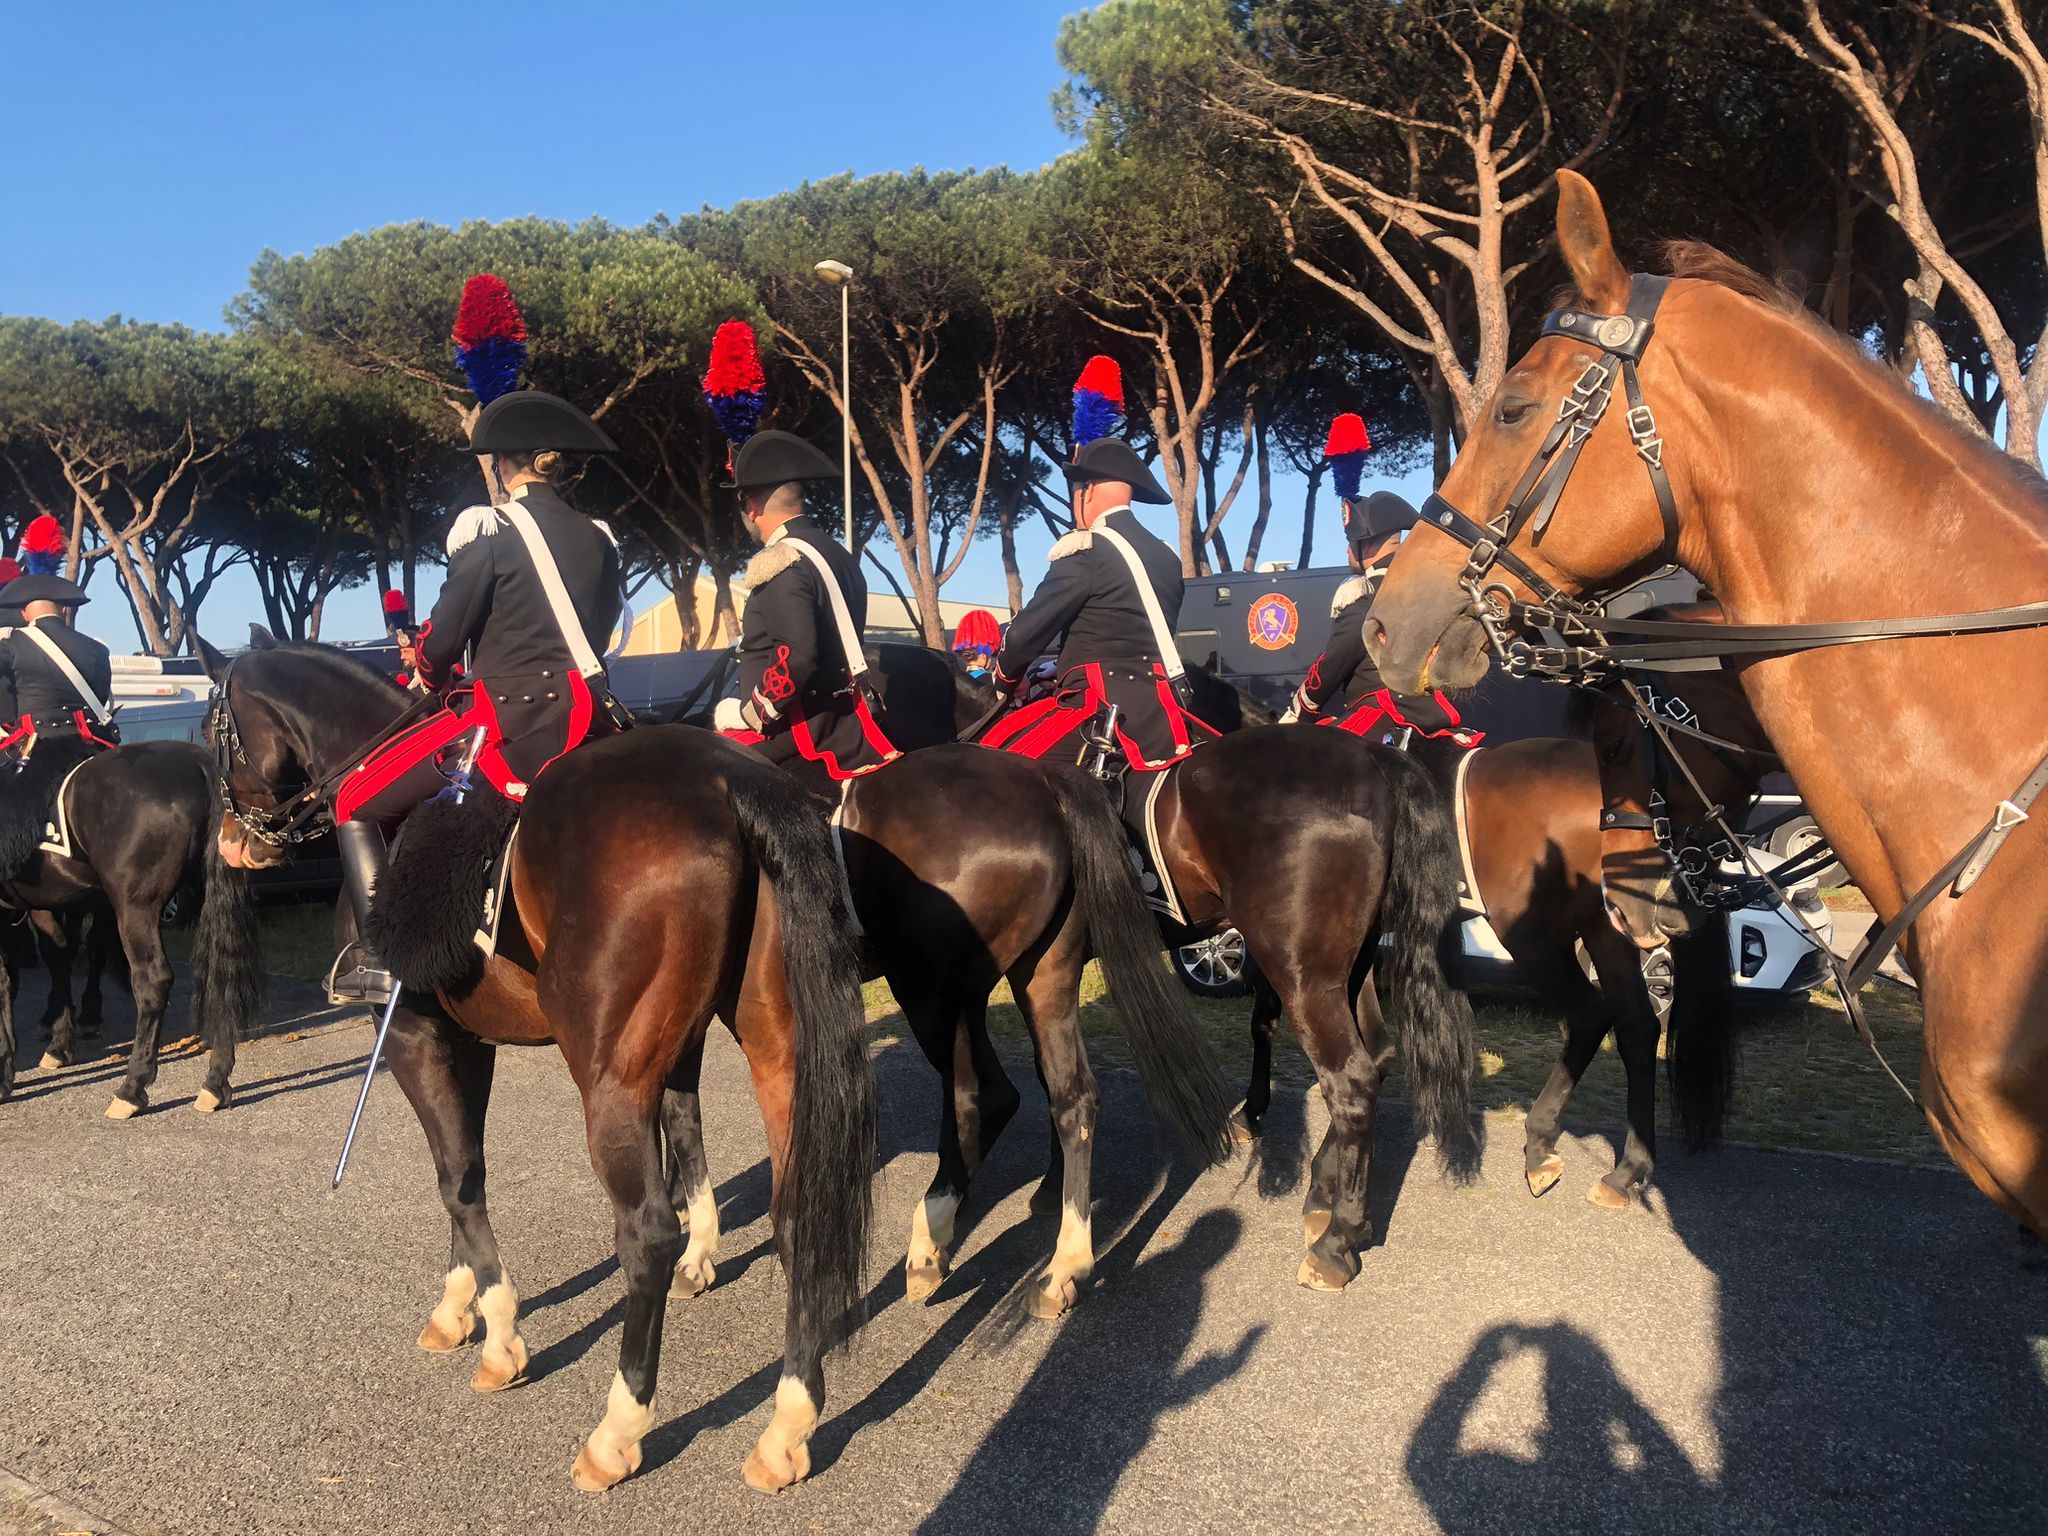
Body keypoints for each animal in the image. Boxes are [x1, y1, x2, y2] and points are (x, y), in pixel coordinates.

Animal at [0, 741, 260, 1114]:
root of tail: (202, 762)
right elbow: (51, 961)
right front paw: (58, 1044)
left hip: (135, 908)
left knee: (152, 982)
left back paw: (132, 1088)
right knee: (220, 976)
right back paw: (215, 1082)